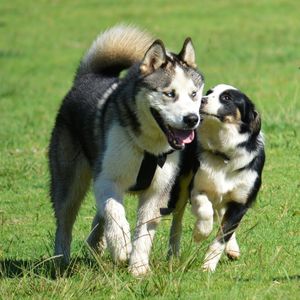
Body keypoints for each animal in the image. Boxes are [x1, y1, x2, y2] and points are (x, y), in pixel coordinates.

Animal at [48, 24, 204, 276]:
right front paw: (121, 247)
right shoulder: (107, 179)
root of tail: (88, 77)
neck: (147, 147)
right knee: (65, 220)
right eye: (169, 93)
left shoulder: (157, 191)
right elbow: (115, 212)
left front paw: (138, 268)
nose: (192, 119)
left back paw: (96, 243)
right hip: (69, 181)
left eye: (194, 94)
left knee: (98, 214)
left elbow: (144, 233)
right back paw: (62, 260)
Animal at [169, 84, 264, 272]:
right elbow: (205, 211)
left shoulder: (241, 202)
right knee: (178, 220)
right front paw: (200, 233)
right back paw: (173, 254)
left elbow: (222, 236)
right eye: (208, 93)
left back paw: (233, 249)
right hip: (182, 184)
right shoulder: (197, 188)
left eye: (226, 98)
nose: (201, 100)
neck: (224, 153)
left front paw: (208, 266)